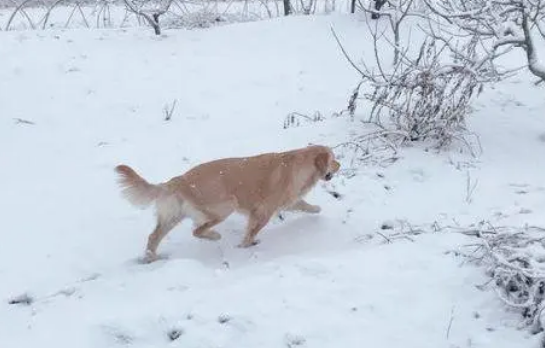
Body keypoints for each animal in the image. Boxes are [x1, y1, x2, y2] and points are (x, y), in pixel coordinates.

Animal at [115, 143, 340, 260]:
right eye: (333, 158)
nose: (340, 165)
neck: (298, 165)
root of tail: (180, 179)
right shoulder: (263, 211)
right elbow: (252, 232)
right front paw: (246, 246)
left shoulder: (287, 201)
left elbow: (304, 205)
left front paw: (316, 208)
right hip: (226, 206)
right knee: (197, 230)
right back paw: (215, 236)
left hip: (174, 215)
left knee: (154, 236)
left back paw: (151, 257)